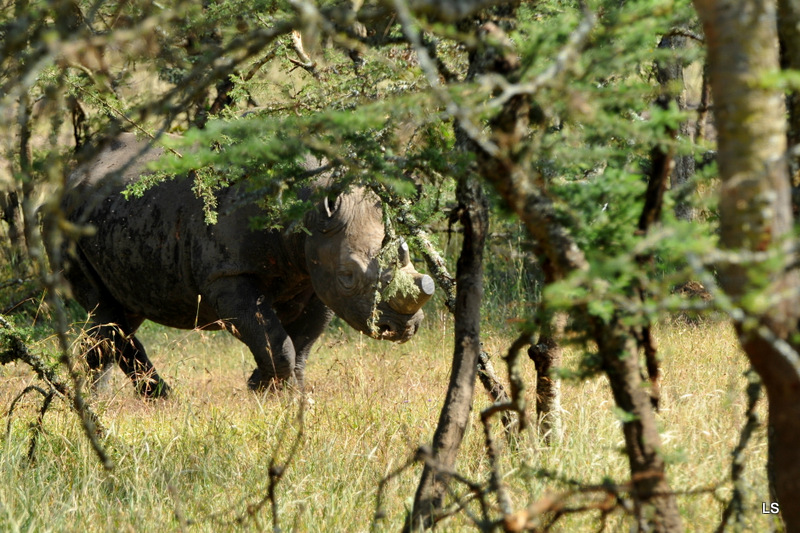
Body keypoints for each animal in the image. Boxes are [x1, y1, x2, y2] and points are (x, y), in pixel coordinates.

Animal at [61, 133, 438, 396]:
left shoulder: (314, 273)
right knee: (106, 310)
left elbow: (301, 340)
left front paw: (276, 389)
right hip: (67, 222)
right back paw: (147, 398)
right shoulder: (227, 274)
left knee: (121, 310)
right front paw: (274, 392)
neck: (306, 210)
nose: (402, 328)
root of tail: (73, 174)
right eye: (348, 275)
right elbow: (273, 338)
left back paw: (109, 398)